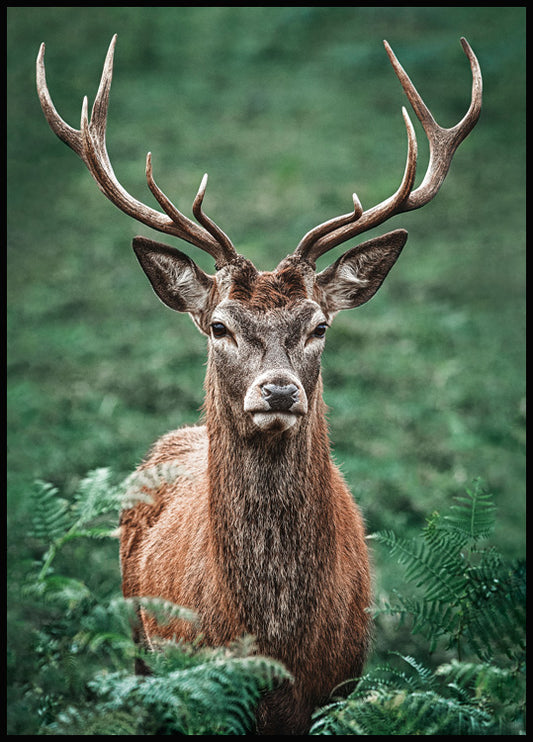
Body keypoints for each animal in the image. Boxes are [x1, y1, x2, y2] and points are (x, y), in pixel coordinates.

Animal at [36, 35, 482, 735]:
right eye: (219, 325)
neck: (271, 642)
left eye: (320, 325)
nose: (278, 391)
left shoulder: (336, 686)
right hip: (140, 643)